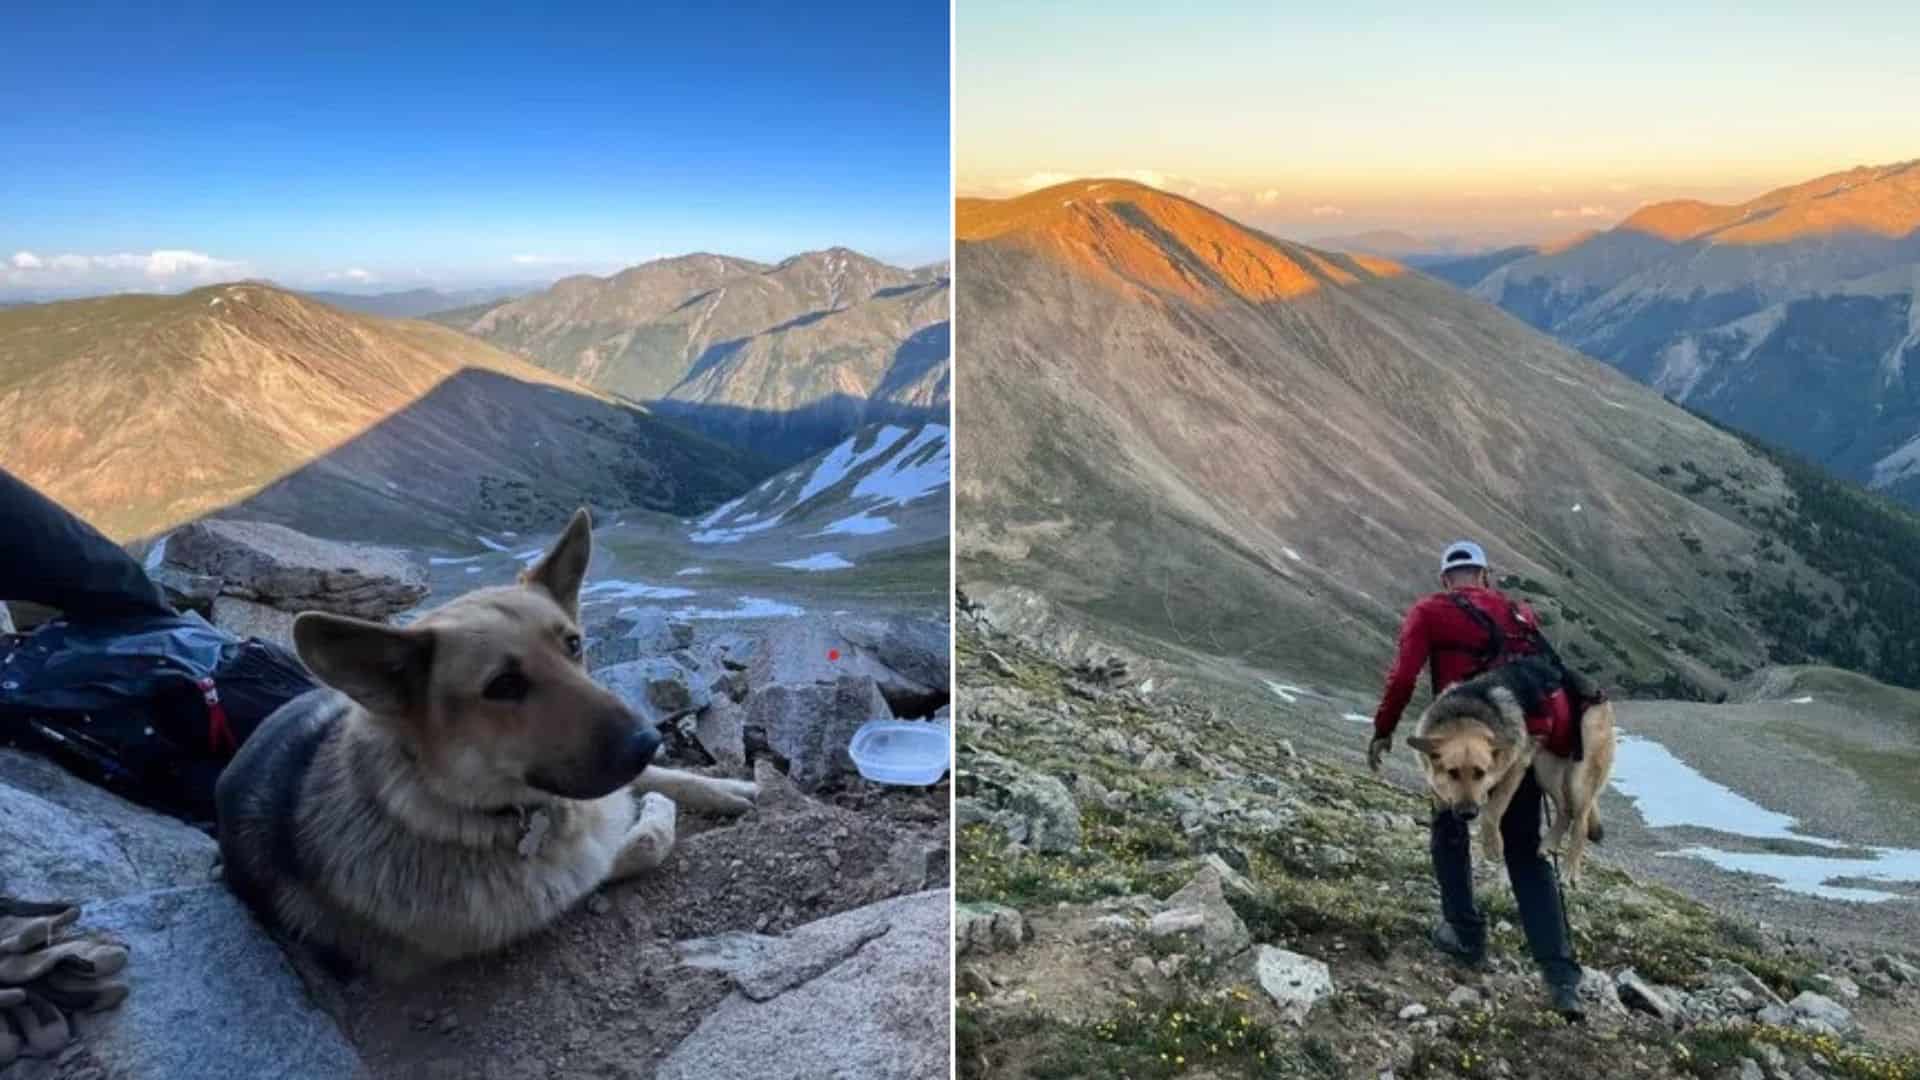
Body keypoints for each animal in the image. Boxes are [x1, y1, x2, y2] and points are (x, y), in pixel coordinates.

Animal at [217, 503, 756, 976]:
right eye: (504, 686)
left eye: (574, 644)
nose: (645, 741)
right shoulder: (562, 888)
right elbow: (644, 840)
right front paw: (656, 812)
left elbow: (654, 789)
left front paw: (716, 789)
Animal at [1405, 657, 1612, 883]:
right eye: (1453, 772)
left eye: (1480, 773)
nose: (1468, 813)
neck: (1463, 716)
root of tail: (1596, 690)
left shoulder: (1516, 768)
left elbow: (1492, 811)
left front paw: (1492, 845)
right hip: (1545, 771)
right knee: (1565, 810)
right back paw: (1549, 844)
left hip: (1579, 779)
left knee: (1581, 822)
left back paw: (1569, 868)